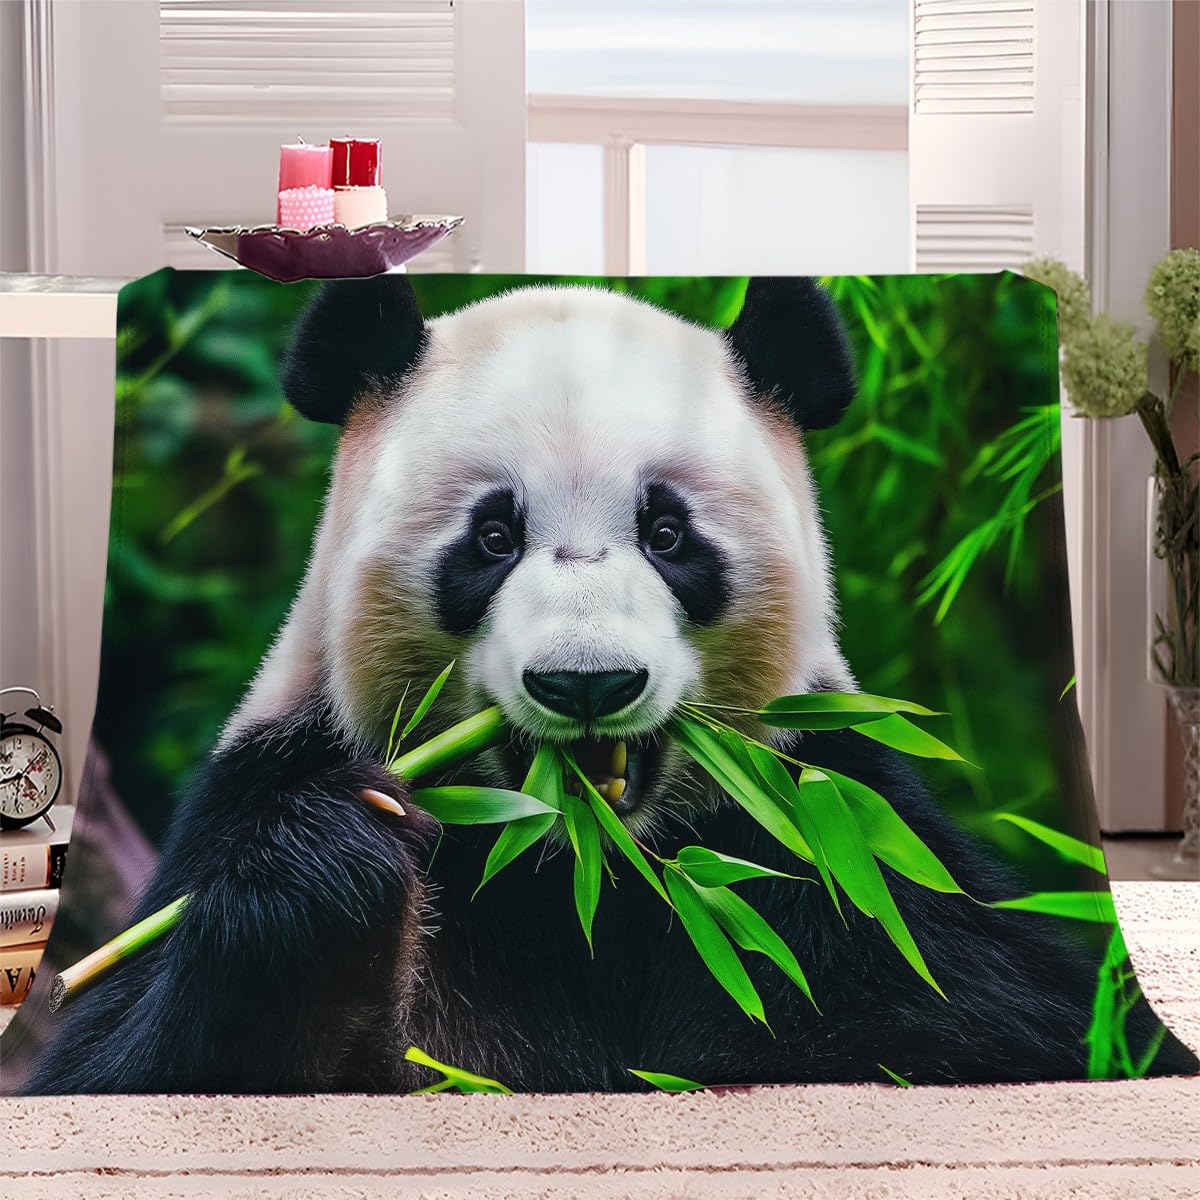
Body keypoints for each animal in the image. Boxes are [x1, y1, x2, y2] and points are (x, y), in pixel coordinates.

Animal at [29, 276, 1196, 1093]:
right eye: (492, 538)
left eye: (669, 533)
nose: (585, 684)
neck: (581, 873)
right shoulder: (269, 772)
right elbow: (129, 1055)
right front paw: (326, 870)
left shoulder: (832, 843)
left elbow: (1006, 1016)